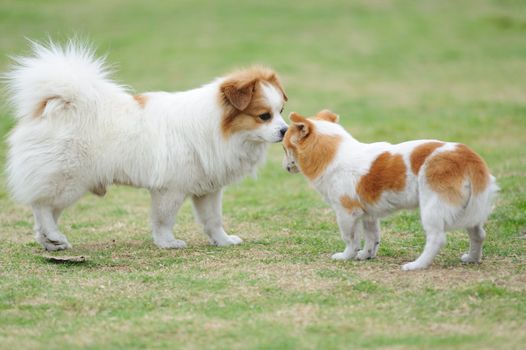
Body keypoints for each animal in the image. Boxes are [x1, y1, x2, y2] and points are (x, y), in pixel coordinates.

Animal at [4, 39, 288, 250]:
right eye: (264, 116)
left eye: (282, 111)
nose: (285, 130)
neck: (217, 127)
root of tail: (57, 103)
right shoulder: (170, 189)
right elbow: (164, 220)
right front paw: (168, 243)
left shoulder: (208, 189)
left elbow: (212, 219)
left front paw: (223, 241)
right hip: (70, 180)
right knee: (41, 206)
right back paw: (53, 235)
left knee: (46, 211)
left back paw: (52, 241)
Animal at [284, 110, 500, 270]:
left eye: (285, 149)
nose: (285, 167)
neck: (334, 155)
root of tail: (467, 156)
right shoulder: (369, 215)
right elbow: (372, 237)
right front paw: (366, 255)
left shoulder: (346, 213)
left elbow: (350, 239)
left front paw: (346, 256)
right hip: (471, 210)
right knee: (479, 235)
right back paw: (472, 258)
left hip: (433, 208)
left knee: (437, 239)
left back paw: (417, 265)